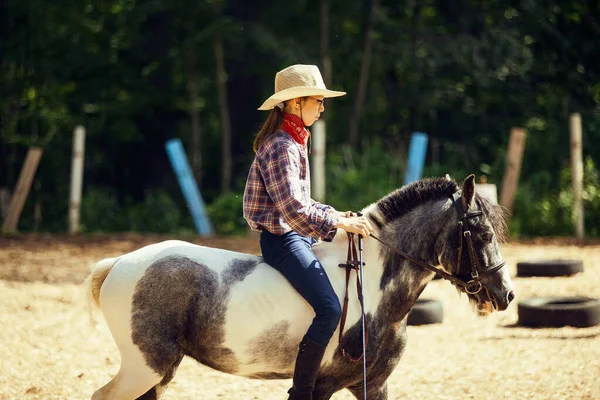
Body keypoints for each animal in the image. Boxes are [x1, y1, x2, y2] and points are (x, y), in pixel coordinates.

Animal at [84, 175, 516, 400]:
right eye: (482, 234)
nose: (506, 294)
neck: (376, 292)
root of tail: (119, 263)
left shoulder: (373, 384)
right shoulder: (322, 384)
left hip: (156, 373)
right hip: (145, 367)